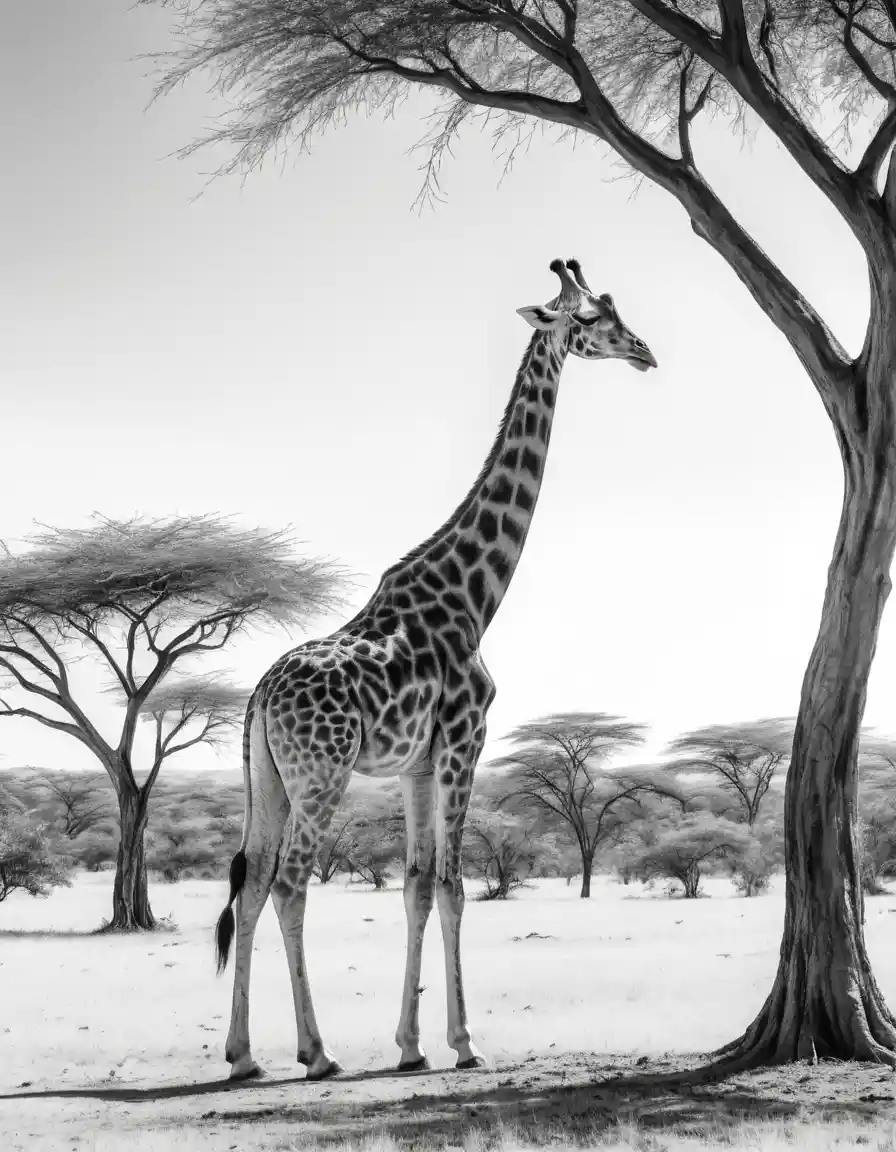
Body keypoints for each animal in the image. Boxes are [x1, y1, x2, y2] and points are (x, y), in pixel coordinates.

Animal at [214, 257, 657, 1082]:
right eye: (588, 319)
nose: (645, 351)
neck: (476, 596)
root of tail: (257, 696)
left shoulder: (419, 764)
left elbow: (417, 887)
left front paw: (412, 1045)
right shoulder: (463, 742)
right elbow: (452, 886)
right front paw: (464, 1042)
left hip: (269, 777)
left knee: (252, 883)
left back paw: (243, 1055)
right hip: (322, 775)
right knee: (291, 885)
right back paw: (316, 1053)